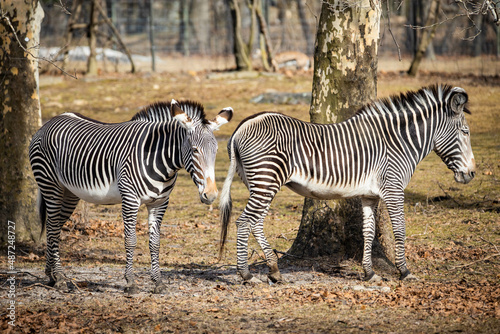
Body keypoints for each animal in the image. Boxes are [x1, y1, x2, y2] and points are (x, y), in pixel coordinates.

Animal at [30, 98, 233, 292]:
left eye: (216, 151)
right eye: (194, 150)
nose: (211, 195)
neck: (160, 161)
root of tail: (51, 121)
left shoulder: (160, 203)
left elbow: (155, 242)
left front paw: (158, 282)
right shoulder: (130, 199)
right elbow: (130, 240)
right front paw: (130, 283)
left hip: (70, 193)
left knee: (54, 228)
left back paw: (51, 275)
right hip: (51, 185)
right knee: (53, 227)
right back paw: (60, 278)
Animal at [220, 85, 476, 284]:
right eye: (465, 131)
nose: (471, 174)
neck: (399, 142)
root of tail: (242, 127)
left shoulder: (370, 195)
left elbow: (369, 232)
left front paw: (370, 273)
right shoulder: (394, 188)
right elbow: (400, 229)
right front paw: (405, 272)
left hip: (259, 183)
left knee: (255, 222)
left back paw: (273, 271)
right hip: (266, 180)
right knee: (244, 222)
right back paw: (246, 275)